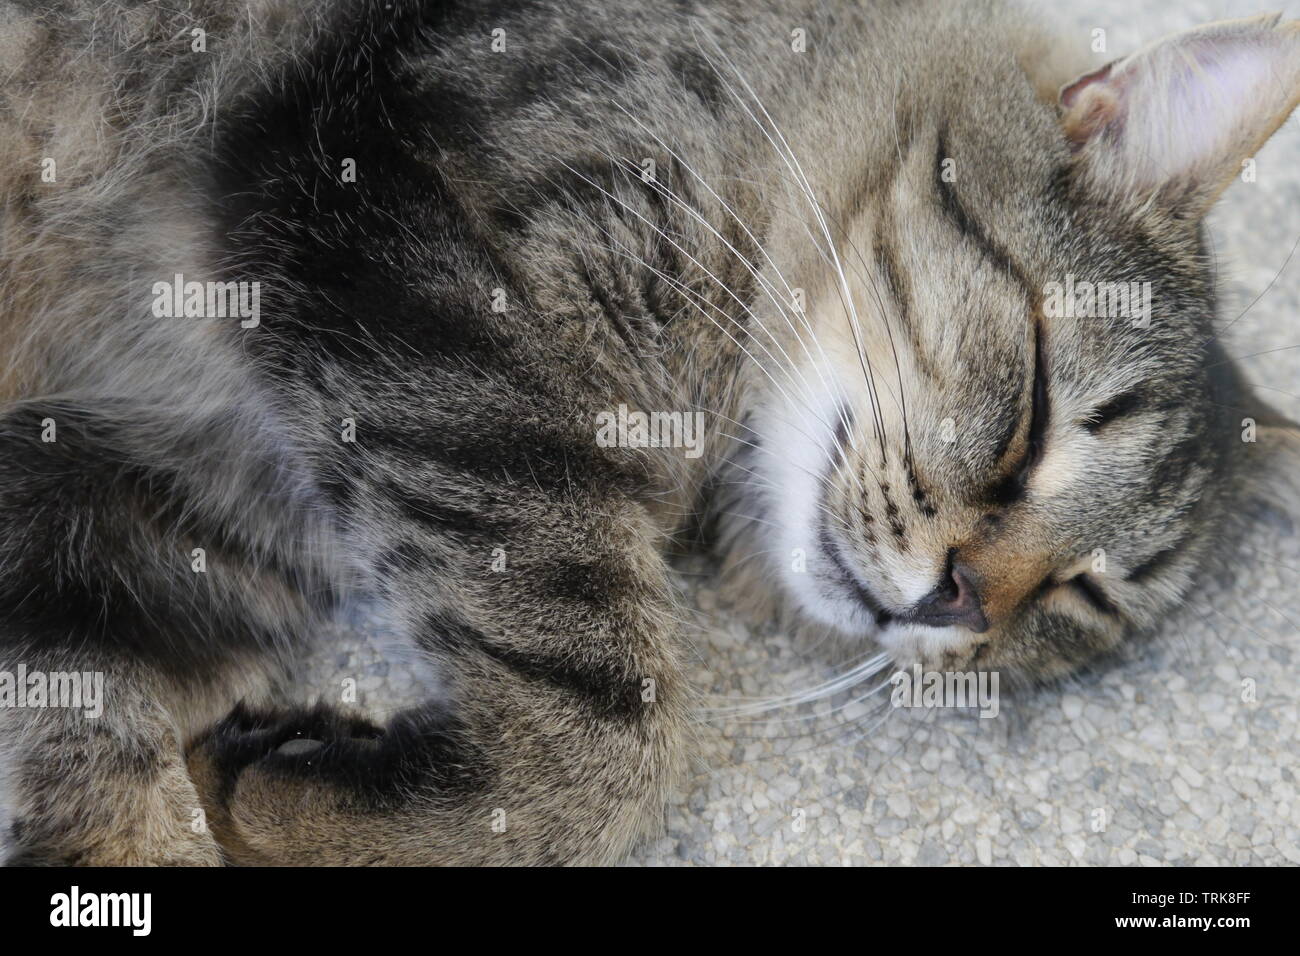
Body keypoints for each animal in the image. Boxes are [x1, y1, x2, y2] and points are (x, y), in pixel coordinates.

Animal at [0, 0, 1294, 868]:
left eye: (1080, 596)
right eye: (1031, 416)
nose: (961, 600)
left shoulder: (141, 514)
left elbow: (87, 752)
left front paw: (270, 800)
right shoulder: (392, 222)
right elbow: (610, 724)